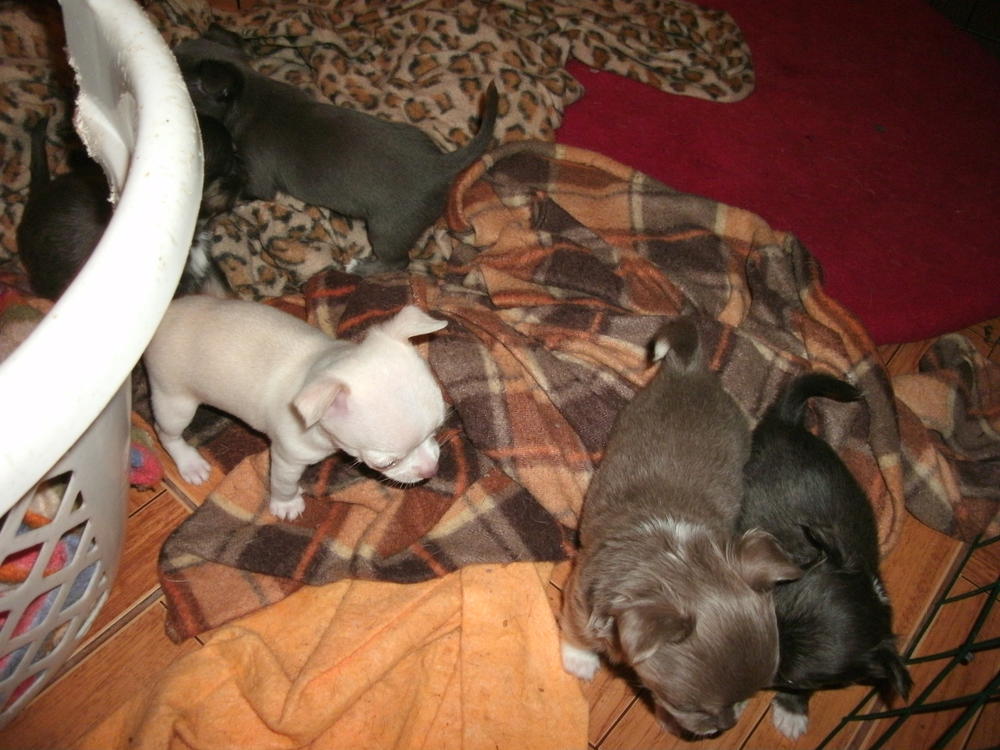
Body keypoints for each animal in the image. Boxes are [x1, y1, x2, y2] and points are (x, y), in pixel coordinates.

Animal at [144, 297, 448, 520]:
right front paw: (286, 505)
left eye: (437, 430)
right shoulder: (286, 457)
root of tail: (165, 315)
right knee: (164, 430)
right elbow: (283, 482)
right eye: (387, 463)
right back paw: (189, 463)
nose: (432, 470)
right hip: (175, 400)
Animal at [172, 25, 499, 274]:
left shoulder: (257, 178)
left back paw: (360, 268)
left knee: (398, 263)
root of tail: (439, 165)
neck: (248, 93)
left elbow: (241, 191)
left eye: (184, 84)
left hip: (386, 229)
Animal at [560, 317, 801, 738]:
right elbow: (577, 631)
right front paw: (579, 661)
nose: (724, 728)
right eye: (692, 706)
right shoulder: (579, 593)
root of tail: (690, 367)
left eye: (754, 693)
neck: (677, 558)